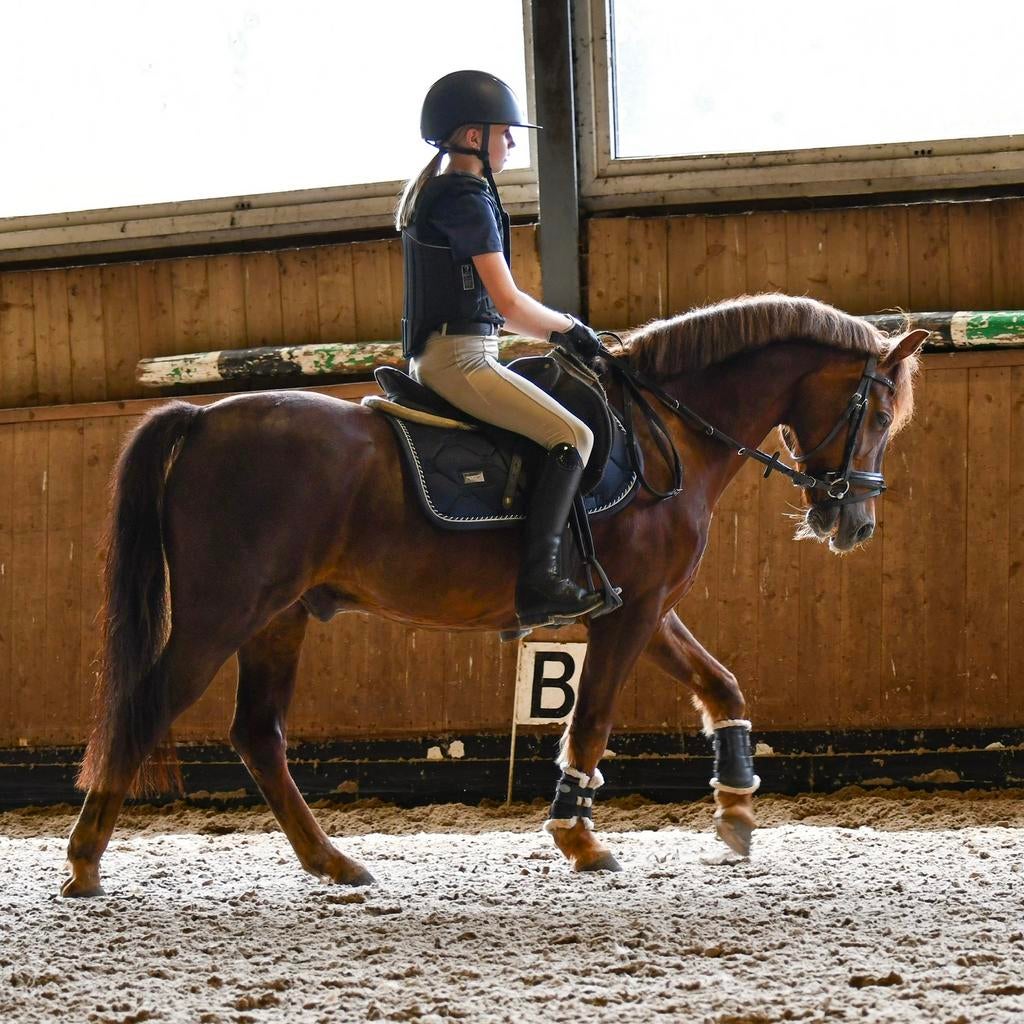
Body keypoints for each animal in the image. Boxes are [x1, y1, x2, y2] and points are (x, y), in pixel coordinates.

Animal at [62, 293, 925, 897]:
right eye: (880, 410)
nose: (853, 521)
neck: (667, 433)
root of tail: (204, 417)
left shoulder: (646, 605)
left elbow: (721, 685)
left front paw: (737, 807)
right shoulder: (631, 611)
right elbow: (592, 718)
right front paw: (580, 837)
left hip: (278, 617)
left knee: (258, 734)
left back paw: (334, 863)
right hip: (222, 614)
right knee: (145, 708)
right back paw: (84, 863)